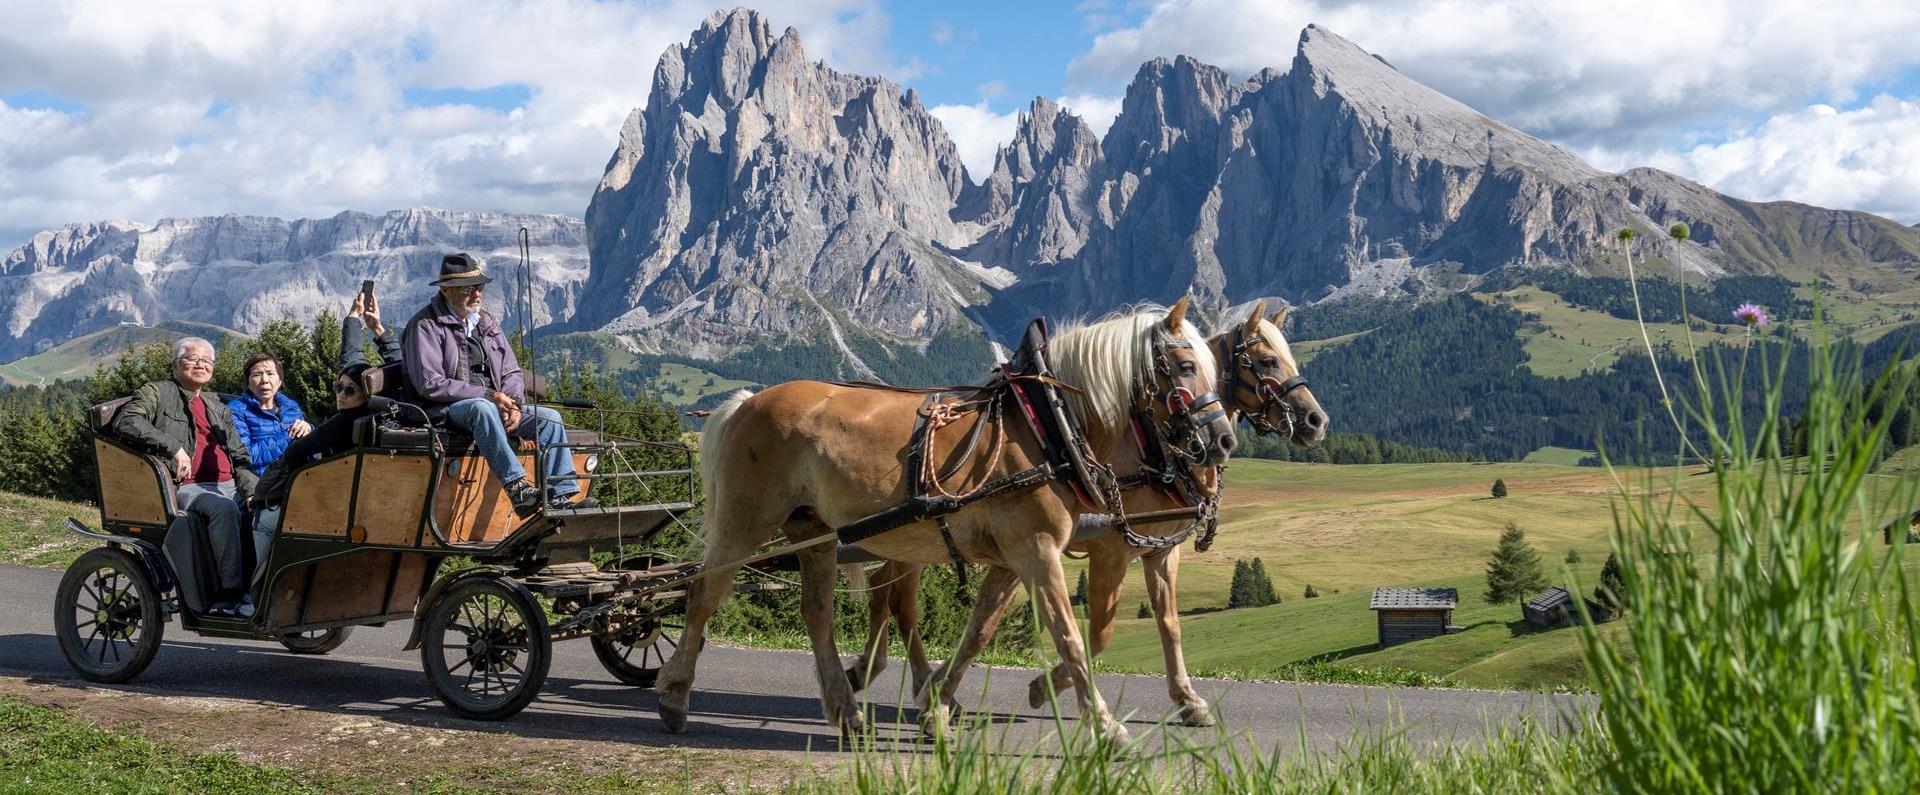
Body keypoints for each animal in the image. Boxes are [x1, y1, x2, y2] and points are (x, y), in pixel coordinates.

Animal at [656, 299, 1228, 737]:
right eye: (1183, 365)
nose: (1223, 440)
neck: (1047, 425)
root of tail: (747, 401)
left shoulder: (1016, 556)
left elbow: (981, 629)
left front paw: (938, 704)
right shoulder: (1040, 548)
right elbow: (1071, 633)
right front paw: (1105, 725)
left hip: (812, 529)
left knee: (817, 613)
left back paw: (846, 710)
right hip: (744, 523)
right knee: (703, 594)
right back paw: (675, 695)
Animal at [848, 299, 1328, 725]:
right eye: (1267, 361)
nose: (1316, 421)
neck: (1153, 449)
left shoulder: (1159, 550)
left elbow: (1169, 624)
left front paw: (1188, 700)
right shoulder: (1109, 549)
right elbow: (1097, 634)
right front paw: (1044, 687)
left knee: (883, 590)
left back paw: (874, 673)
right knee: (898, 599)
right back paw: (899, 679)